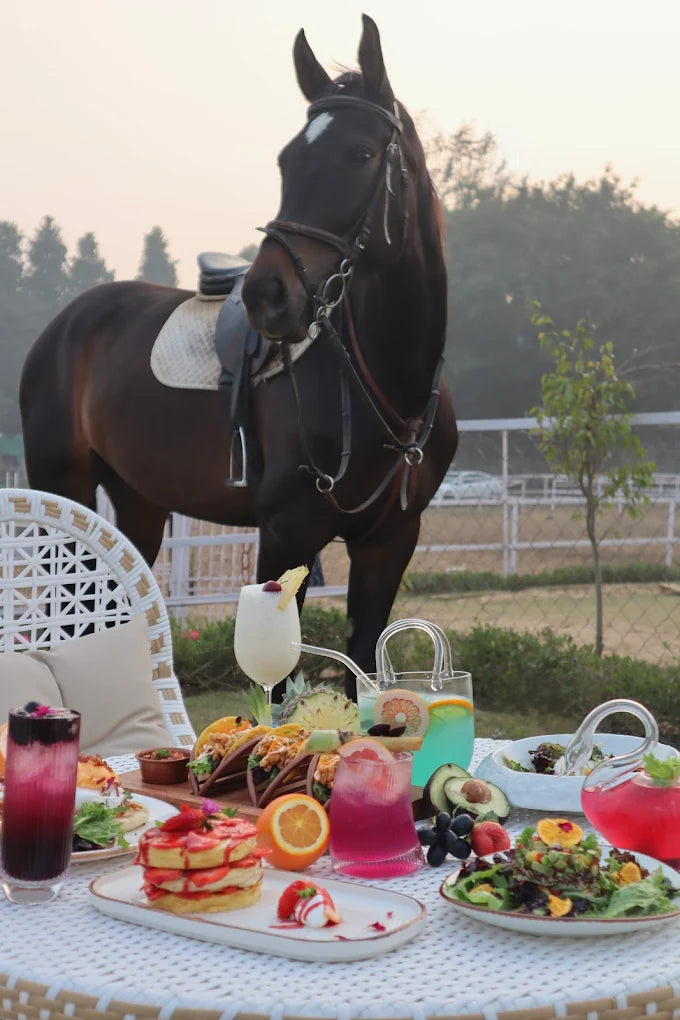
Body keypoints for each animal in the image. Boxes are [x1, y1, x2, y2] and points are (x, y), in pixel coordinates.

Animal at [19, 15, 458, 699]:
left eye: (361, 154)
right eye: (287, 158)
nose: (266, 295)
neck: (386, 385)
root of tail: (66, 323)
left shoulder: (389, 543)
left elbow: (366, 664)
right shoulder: (286, 534)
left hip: (139, 502)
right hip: (62, 487)